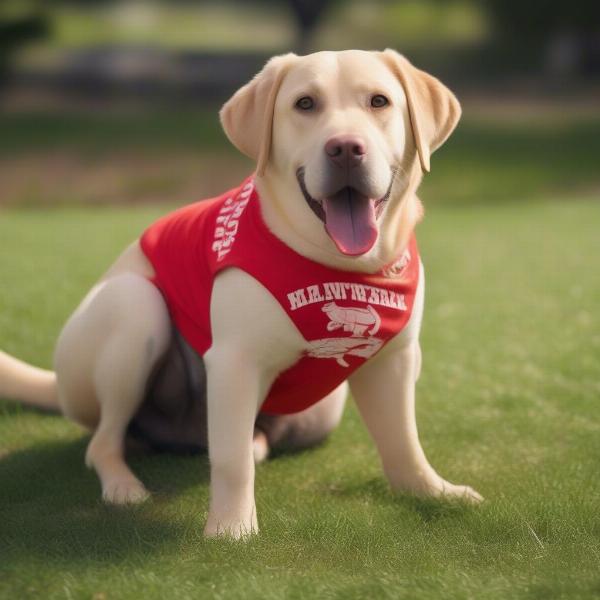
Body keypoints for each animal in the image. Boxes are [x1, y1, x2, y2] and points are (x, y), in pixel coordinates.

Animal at [0, 50, 480, 540]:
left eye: (379, 101)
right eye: (305, 104)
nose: (346, 148)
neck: (343, 266)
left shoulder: (394, 358)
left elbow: (403, 439)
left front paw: (430, 492)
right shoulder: (234, 362)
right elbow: (230, 462)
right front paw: (231, 530)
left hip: (322, 409)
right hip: (135, 310)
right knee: (104, 441)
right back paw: (124, 487)